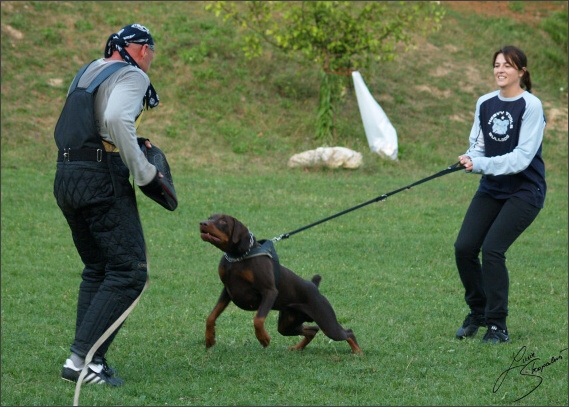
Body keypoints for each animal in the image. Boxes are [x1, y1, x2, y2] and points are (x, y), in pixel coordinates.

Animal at [199, 214, 360, 354]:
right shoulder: (227, 291)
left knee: (348, 332)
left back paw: (357, 352)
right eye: (210, 217)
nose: (202, 223)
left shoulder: (269, 291)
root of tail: (314, 286)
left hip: (327, 322)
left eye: (223, 221)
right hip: (287, 324)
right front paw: (210, 339)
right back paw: (297, 348)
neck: (237, 258)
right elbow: (211, 317)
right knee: (312, 330)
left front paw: (263, 338)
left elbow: (258, 319)